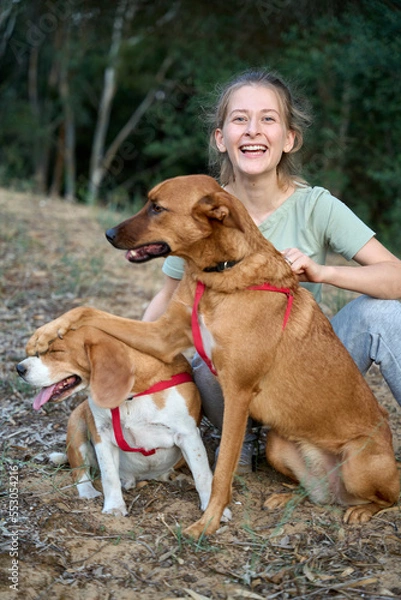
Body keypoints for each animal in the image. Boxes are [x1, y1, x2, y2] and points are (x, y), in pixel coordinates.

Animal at [16, 324, 216, 516]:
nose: (19, 368)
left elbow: (203, 475)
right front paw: (114, 507)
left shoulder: (188, 435)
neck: (132, 397)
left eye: (56, 351)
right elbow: (109, 476)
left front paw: (212, 510)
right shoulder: (102, 435)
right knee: (80, 472)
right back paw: (89, 491)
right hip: (77, 426)